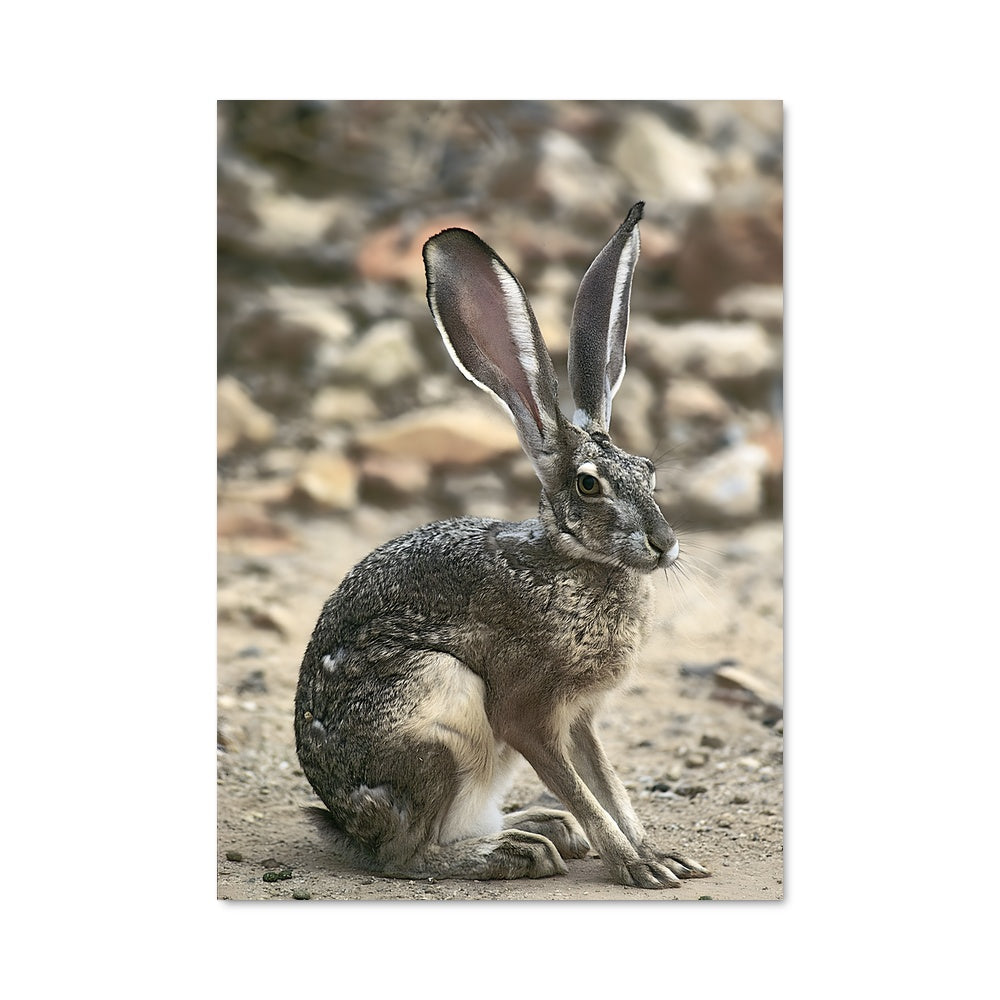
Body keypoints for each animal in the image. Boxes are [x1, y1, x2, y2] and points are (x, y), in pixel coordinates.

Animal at [294, 202, 710, 889]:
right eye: (588, 485)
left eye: (648, 471)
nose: (664, 544)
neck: (575, 561)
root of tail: (346, 824)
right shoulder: (528, 712)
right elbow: (585, 792)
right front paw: (637, 865)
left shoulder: (581, 719)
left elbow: (609, 786)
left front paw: (658, 854)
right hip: (436, 711)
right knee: (406, 855)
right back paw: (515, 852)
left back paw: (541, 830)